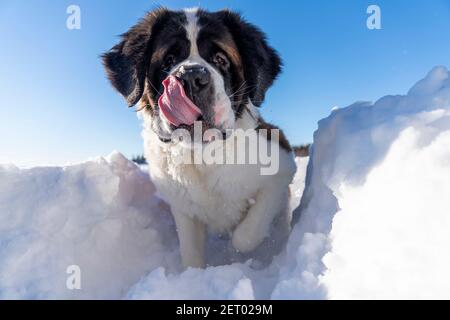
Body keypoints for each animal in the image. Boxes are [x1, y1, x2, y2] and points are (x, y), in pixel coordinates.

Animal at [103, 7, 298, 268]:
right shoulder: (182, 206)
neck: (202, 154)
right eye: (169, 60)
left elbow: (245, 236)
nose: (191, 77)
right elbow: (191, 251)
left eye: (220, 59)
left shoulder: (281, 167)